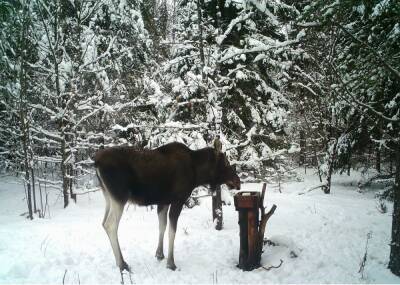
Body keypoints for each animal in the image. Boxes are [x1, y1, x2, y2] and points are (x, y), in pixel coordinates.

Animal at [95, 141, 241, 272]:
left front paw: (159, 254)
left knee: (103, 222)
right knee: (110, 225)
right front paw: (171, 263)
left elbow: (162, 226)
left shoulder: (163, 202)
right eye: (226, 162)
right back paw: (122, 264)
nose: (238, 182)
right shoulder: (178, 200)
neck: (197, 173)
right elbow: (172, 231)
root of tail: (96, 162)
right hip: (120, 197)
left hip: (108, 197)